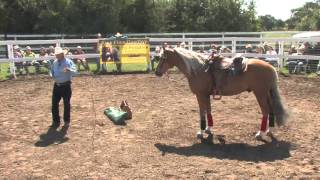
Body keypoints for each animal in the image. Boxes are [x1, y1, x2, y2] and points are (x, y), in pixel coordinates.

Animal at [155, 47, 288, 141]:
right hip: (266, 94)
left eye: (163, 58)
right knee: (271, 110)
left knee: (265, 111)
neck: (198, 70)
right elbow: (208, 111)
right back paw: (269, 130)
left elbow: (202, 112)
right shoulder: (206, 95)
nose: (157, 72)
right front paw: (208, 129)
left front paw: (201, 132)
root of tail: (270, 67)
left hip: (260, 93)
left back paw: (260, 133)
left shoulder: (200, 95)